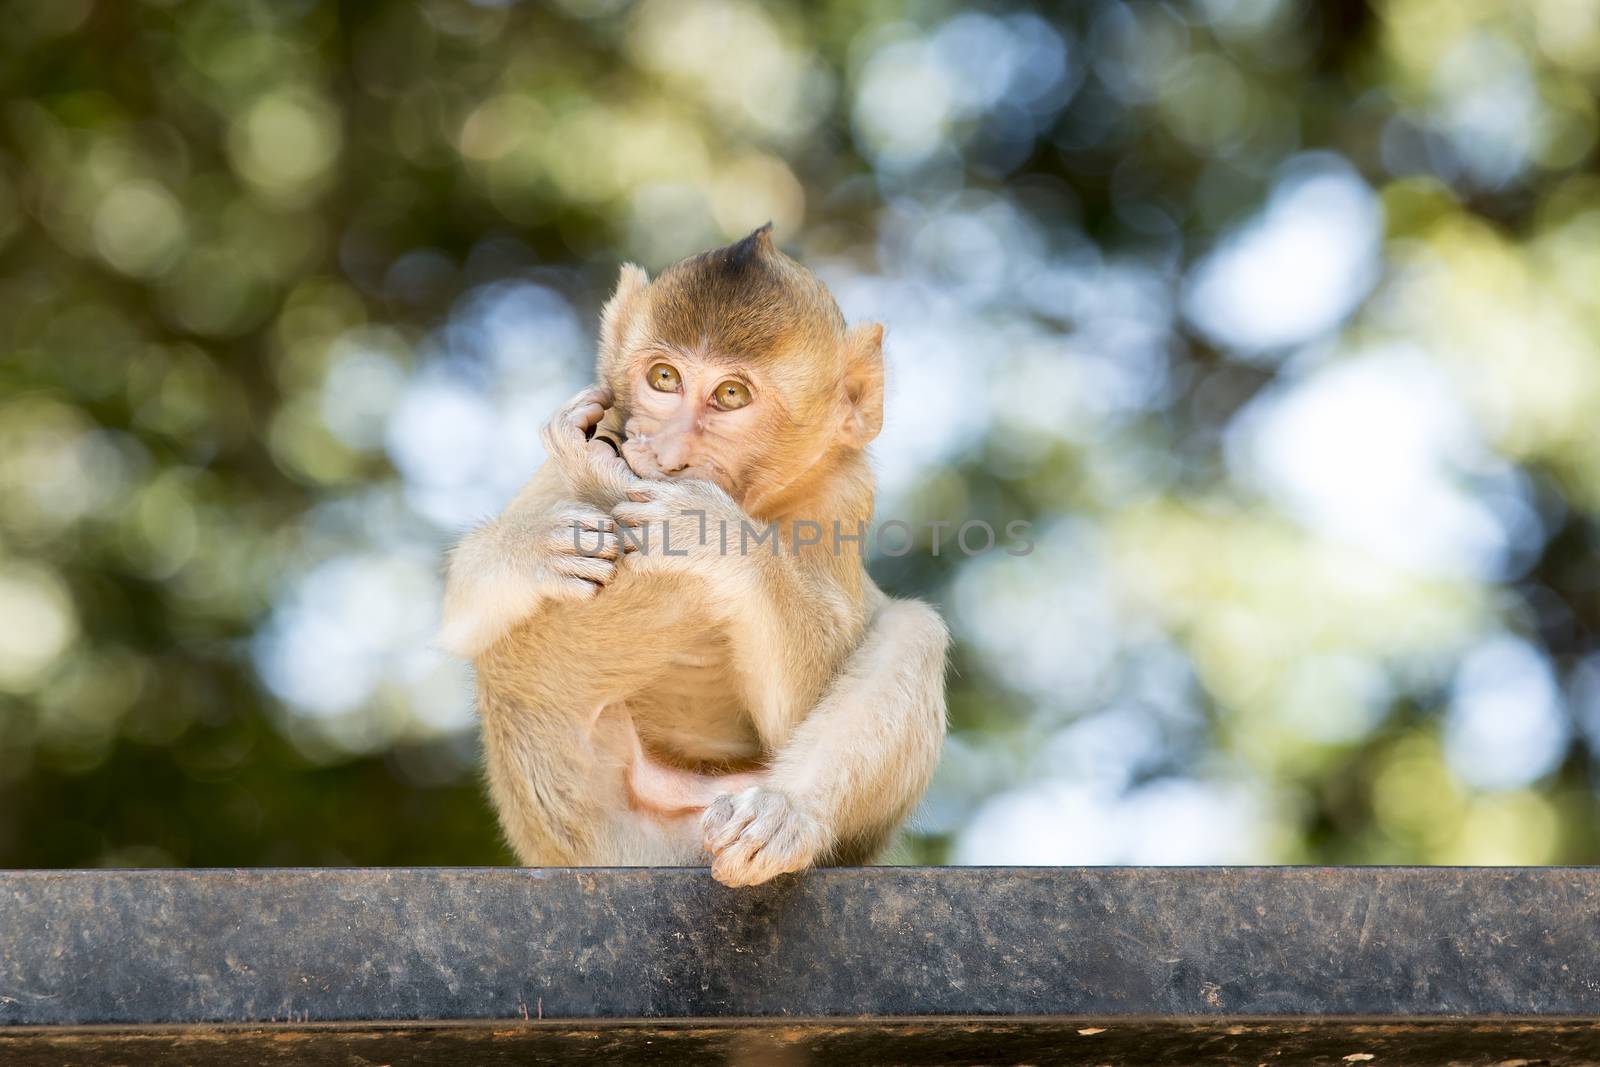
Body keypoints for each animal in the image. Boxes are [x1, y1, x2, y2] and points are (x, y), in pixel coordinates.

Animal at [438, 223, 947, 883]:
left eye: (730, 394)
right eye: (664, 379)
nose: (669, 452)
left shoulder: (843, 492)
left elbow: (801, 702)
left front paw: (712, 533)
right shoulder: (584, 446)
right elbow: (462, 612)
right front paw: (542, 541)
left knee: (914, 629)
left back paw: (782, 816)